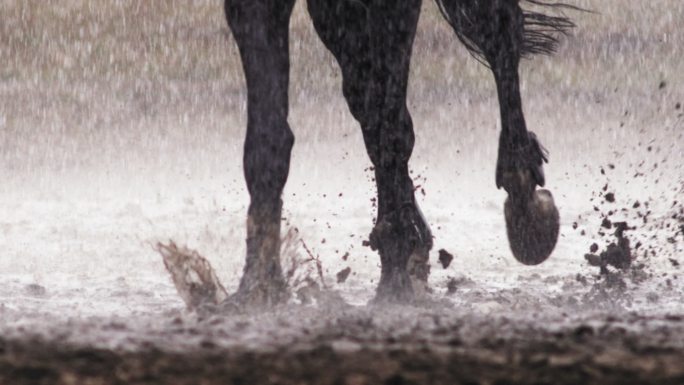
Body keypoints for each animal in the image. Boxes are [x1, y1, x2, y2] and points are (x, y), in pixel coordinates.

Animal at [226, 0, 576, 306]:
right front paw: (260, 285)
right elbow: (269, 135)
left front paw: (396, 268)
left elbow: (387, 123)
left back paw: (524, 203)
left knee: (500, 28)